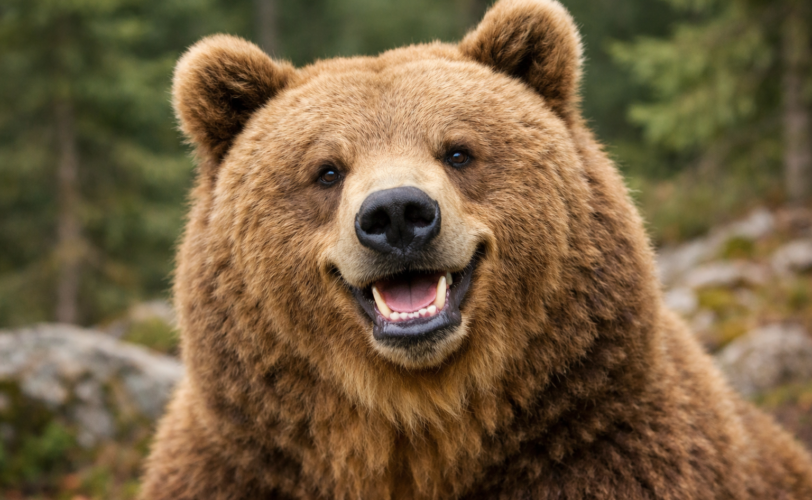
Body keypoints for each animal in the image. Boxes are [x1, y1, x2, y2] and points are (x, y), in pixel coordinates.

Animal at [139, 0, 812, 498]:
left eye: (458, 151)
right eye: (326, 170)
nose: (397, 215)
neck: (421, 429)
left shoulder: (609, 450)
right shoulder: (240, 468)